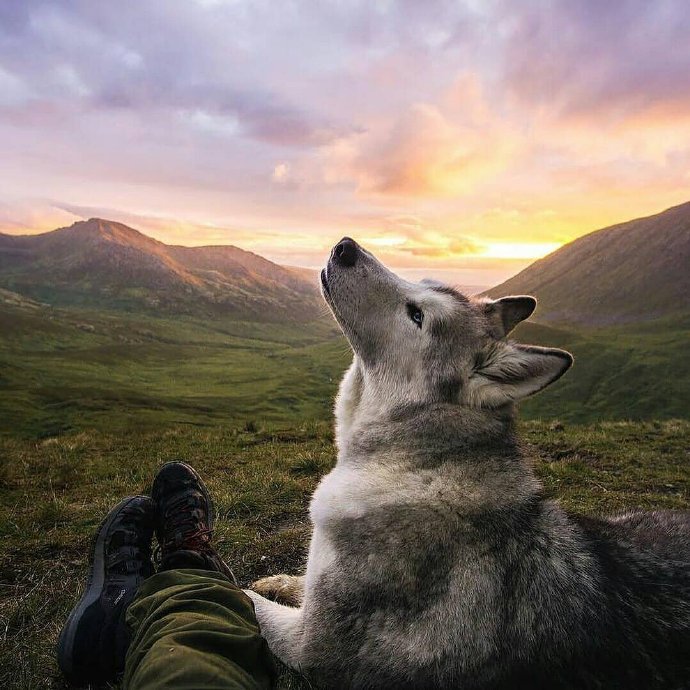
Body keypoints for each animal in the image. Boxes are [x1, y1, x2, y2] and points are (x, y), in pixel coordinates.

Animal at [247, 238, 688, 688]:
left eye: (417, 316)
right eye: (421, 283)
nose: (345, 247)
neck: (419, 466)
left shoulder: (311, 645)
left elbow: (248, 602)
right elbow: (295, 586)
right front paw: (282, 582)